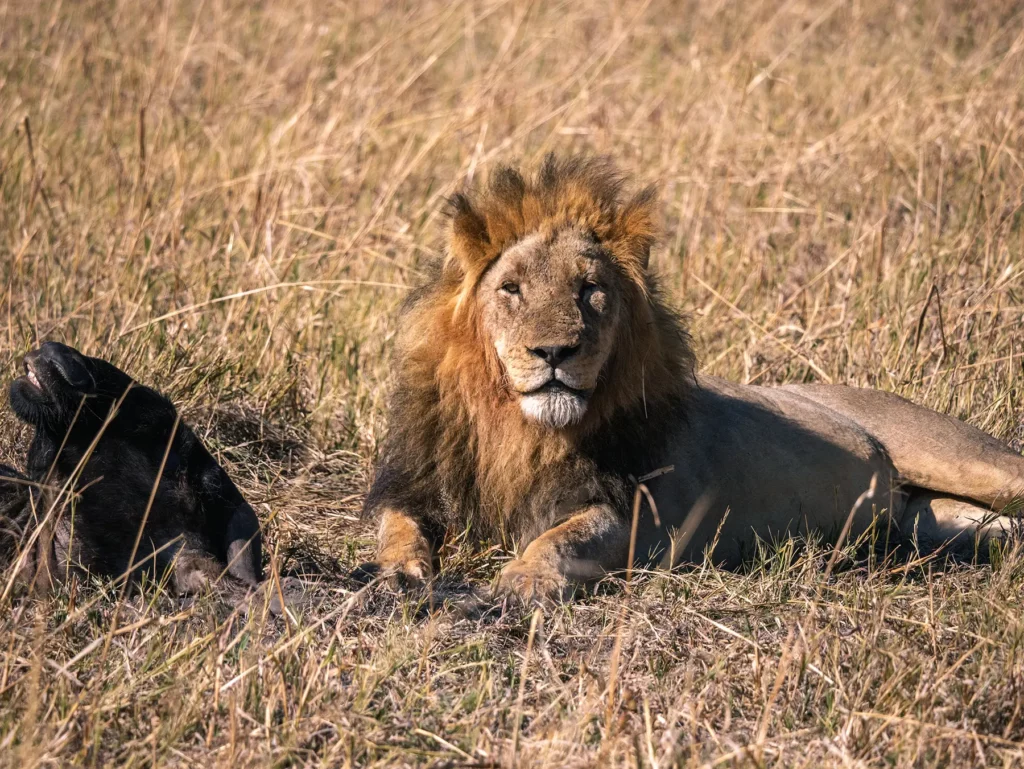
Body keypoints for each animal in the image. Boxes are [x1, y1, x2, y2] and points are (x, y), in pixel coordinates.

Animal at [362, 154, 1024, 602]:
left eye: (590, 288)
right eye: (511, 288)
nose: (554, 351)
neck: (518, 430)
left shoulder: (640, 515)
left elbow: (564, 538)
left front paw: (524, 577)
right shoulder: (421, 485)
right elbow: (395, 525)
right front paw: (396, 572)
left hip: (956, 456)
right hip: (926, 521)